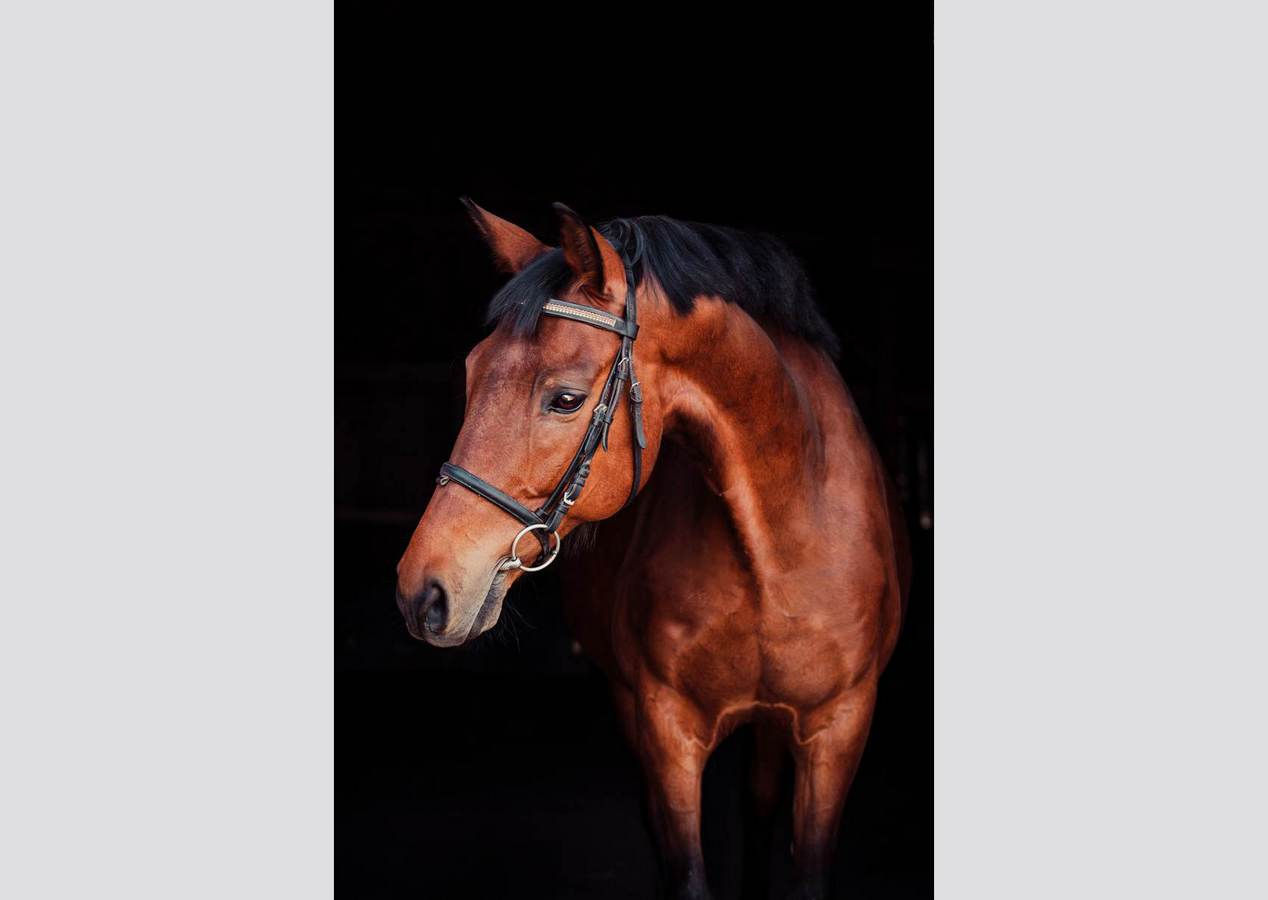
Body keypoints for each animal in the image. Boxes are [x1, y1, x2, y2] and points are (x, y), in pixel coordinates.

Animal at [396, 200, 911, 899]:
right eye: (471, 375)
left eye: (565, 399)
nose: (421, 591)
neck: (777, 549)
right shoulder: (668, 730)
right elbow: (685, 869)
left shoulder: (839, 729)